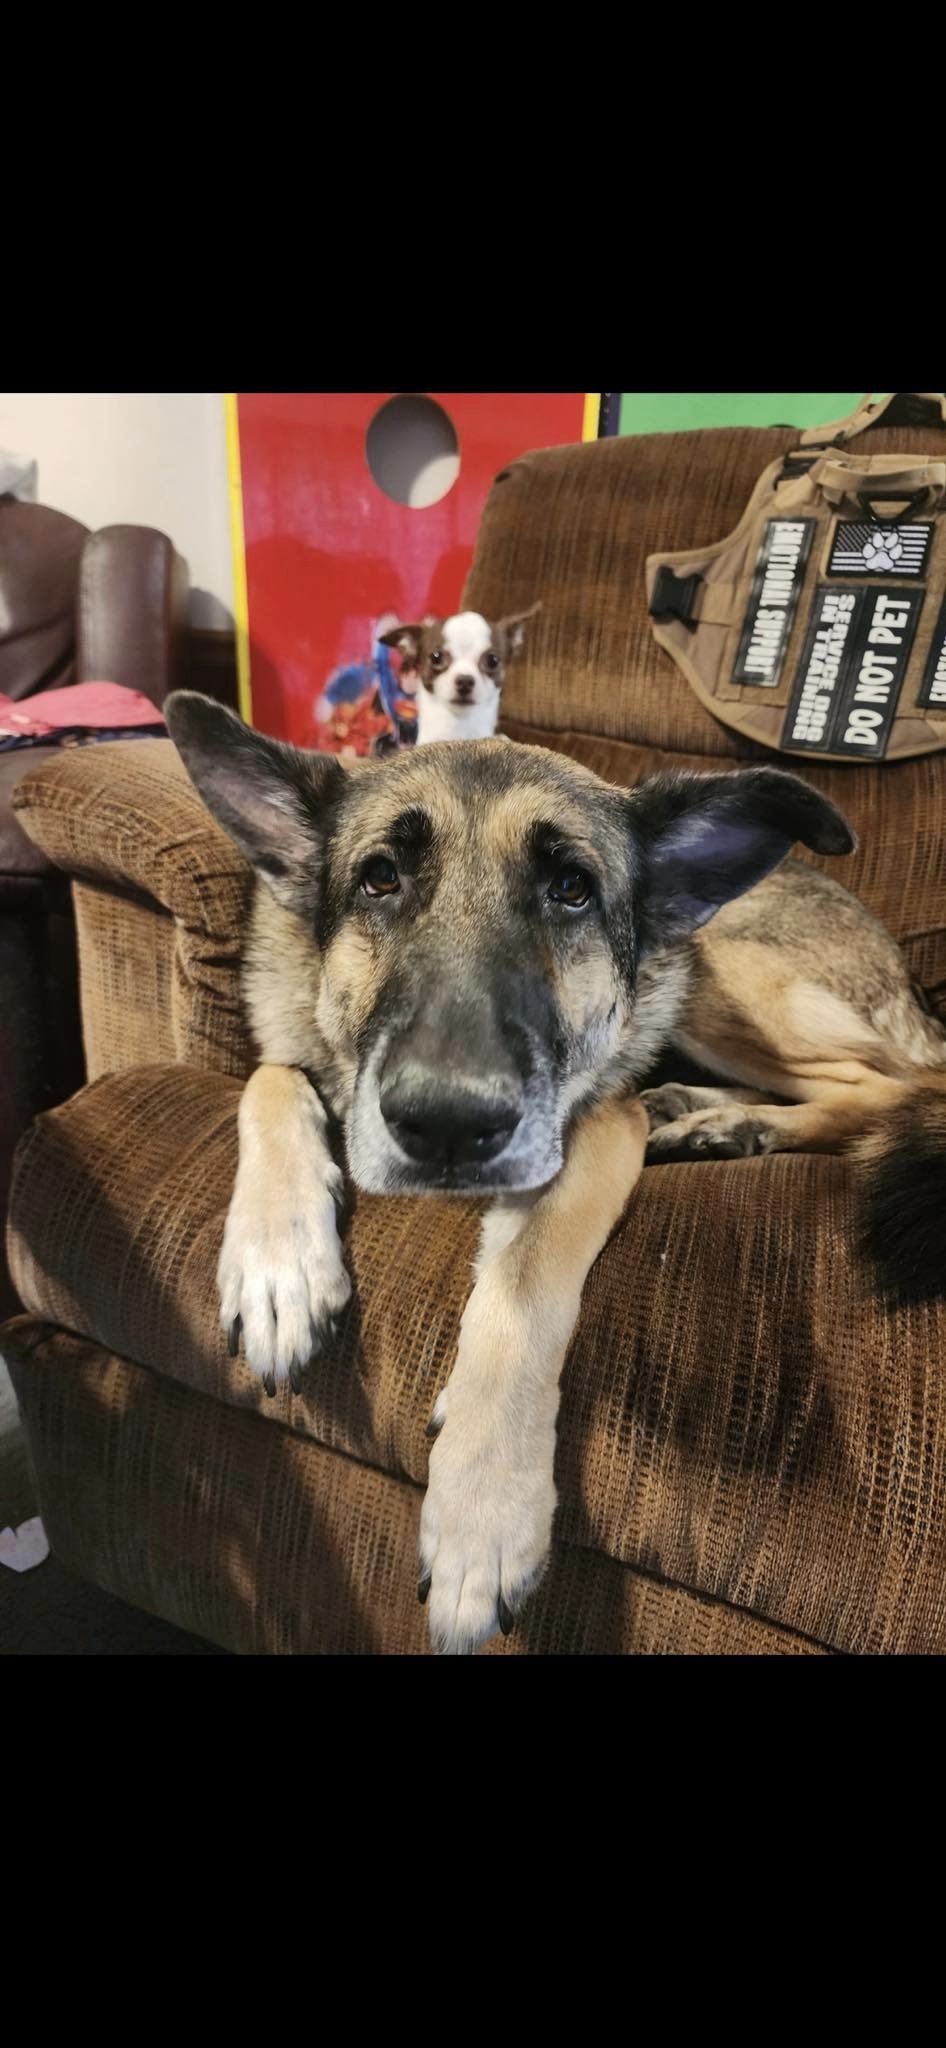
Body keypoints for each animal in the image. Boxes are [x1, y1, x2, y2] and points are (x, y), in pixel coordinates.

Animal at [165, 696, 946, 1654]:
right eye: (380, 879)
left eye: (572, 888)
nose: (448, 1126)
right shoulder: (296, 1061)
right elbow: (269, 1082)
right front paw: (279, 1266)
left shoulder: (594, 1131)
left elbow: (524, 1283)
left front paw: (482, 1510)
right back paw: (701, 1111)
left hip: (721, 973)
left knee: (888, 1084)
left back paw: (736, 1121)